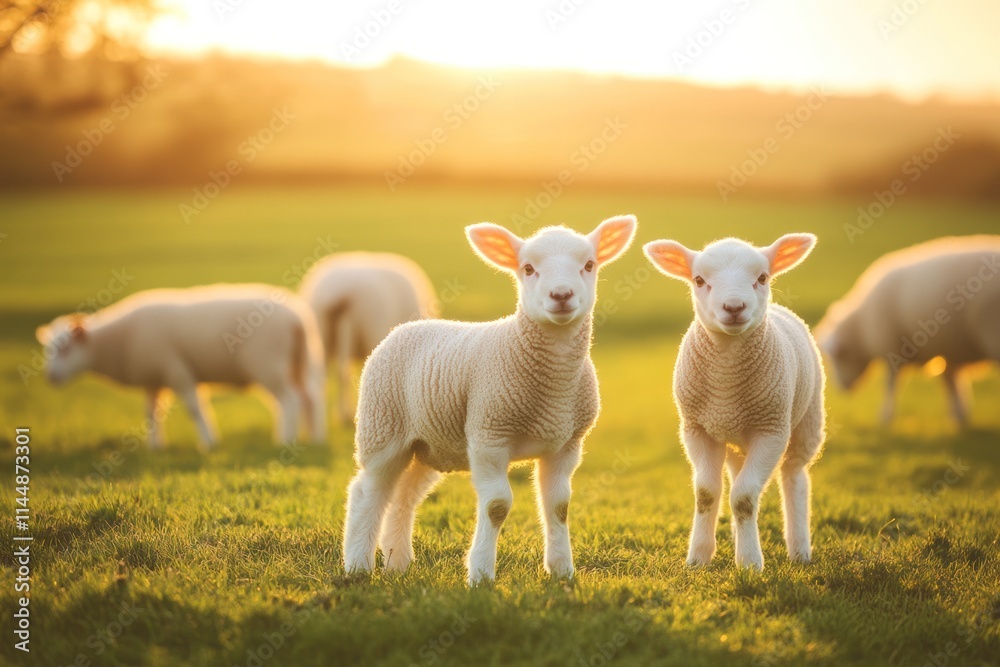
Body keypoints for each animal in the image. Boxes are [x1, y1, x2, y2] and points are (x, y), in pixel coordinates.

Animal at [36, 284, 327, 448]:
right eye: (48, 350)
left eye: (65, 348)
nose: (51, 377)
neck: (116, 341)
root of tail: (297, 319)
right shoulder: (152, 379)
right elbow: (151, 413)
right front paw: (155, 447)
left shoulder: (175, 369)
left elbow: (195, 409)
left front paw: (209, 442)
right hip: (298, 361)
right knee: (309, 398)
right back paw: (314, 438)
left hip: (269, 364)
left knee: (290, 400)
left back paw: (285, 439)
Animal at [341, 215, 637, 585]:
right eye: (528, 268)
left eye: (589, 265)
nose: (561, 295)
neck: (553, 388)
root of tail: (404, 328)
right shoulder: (489, 433)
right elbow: (496, 505)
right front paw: (481, 574)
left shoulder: (566, 443)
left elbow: (559, 506)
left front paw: (562, 571)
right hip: (383, 426)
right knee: (367, 492)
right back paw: (357, 565)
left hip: (426, 444)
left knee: (403, 497)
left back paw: (398, 561)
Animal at [643, 234, 825, 570]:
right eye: (699, 280)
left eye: (763, 278)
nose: (734, 307)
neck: (726, 385)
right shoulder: (697, 429)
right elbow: (707, 493)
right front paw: (699, 557)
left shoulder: (771, 430)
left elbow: (744, 498)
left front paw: (750, 562)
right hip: (734, 439)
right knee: (738, 472)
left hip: (806, 423)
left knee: (794, 477)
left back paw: (799, 549)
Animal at [815, 236, 1000, 427]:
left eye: (837, 358)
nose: (841, 389)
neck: (862, 329)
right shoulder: (947, 351)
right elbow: (951, 383)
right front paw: (959, 416)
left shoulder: (892, 349)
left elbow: (891, 385)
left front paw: (885, 418)